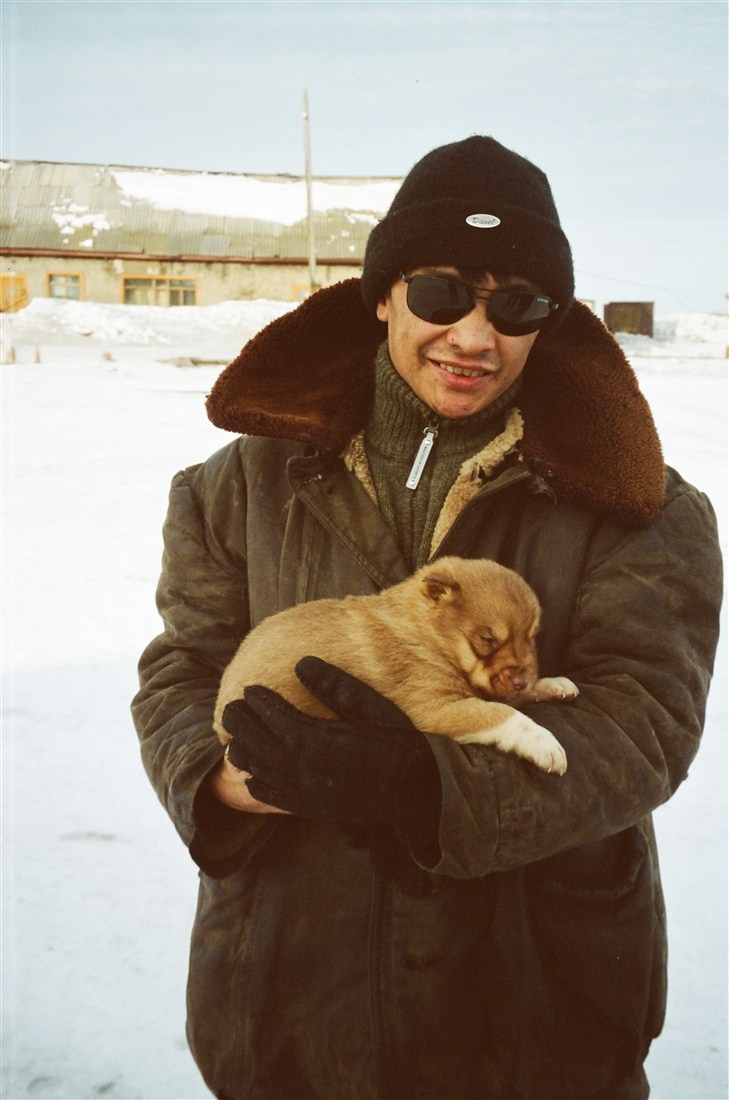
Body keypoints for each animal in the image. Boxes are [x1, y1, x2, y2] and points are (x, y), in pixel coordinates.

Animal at [214, 556, 578, 774]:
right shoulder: (435, 708)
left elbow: (509, 700)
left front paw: (552, 684)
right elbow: (504, 714)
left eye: (532, 637)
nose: (522, 680)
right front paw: (545, 743)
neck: (428, 635)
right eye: (488, 640)